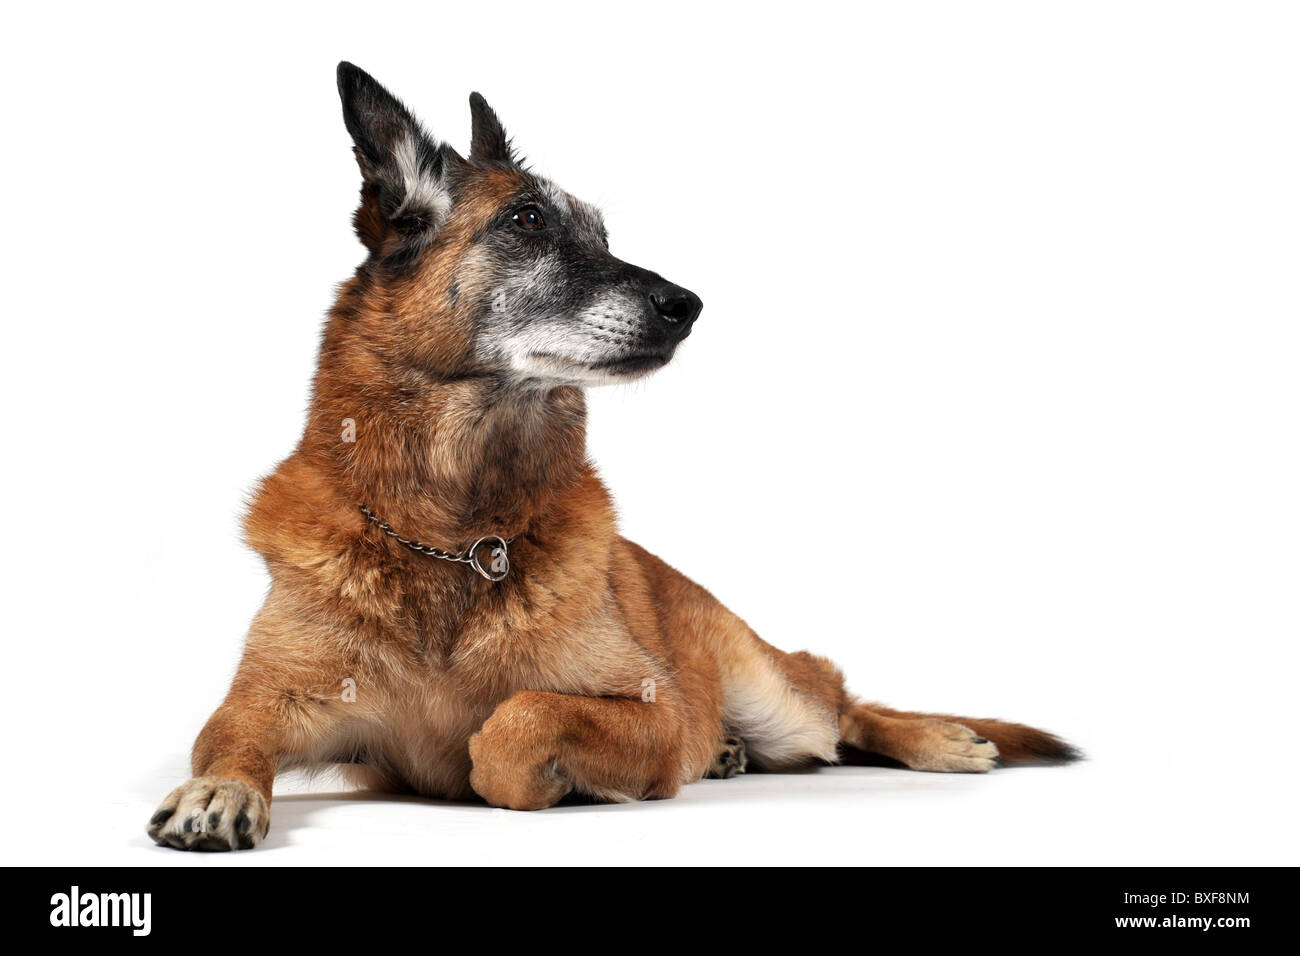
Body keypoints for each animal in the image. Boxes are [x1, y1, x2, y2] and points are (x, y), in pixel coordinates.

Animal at [144, 61, 1076, 853]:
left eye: (600, 232)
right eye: (526, 221)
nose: (688, 305)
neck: (456, 537)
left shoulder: (653, 716)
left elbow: (513, 725)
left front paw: (548, 779)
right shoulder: (261, 702)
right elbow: (225, 741)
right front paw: (216, 793)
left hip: (778, 698)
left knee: (841, 702)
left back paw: (935, 738)